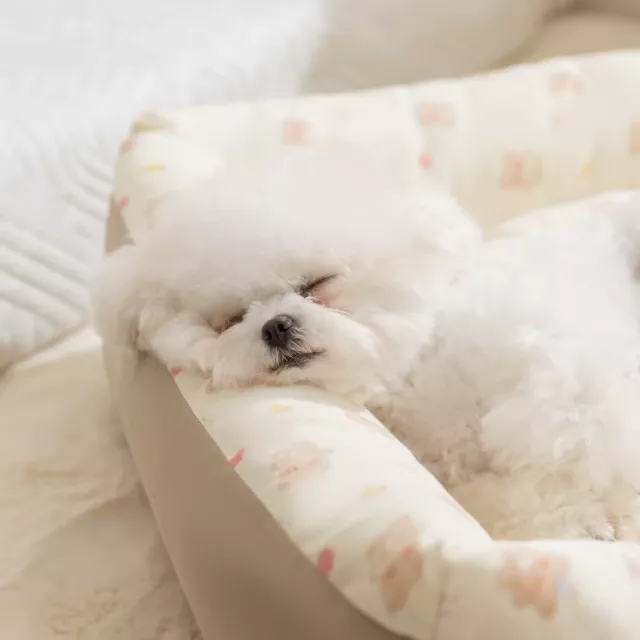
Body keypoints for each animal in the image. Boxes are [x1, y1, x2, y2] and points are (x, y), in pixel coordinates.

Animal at [94, 154, 640, 541]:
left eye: (317, 283)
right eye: (231, 319)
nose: (275, 326)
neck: (418, 371)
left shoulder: (564, 368)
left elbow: (569, 441)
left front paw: (589, 516)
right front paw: (576, 520)